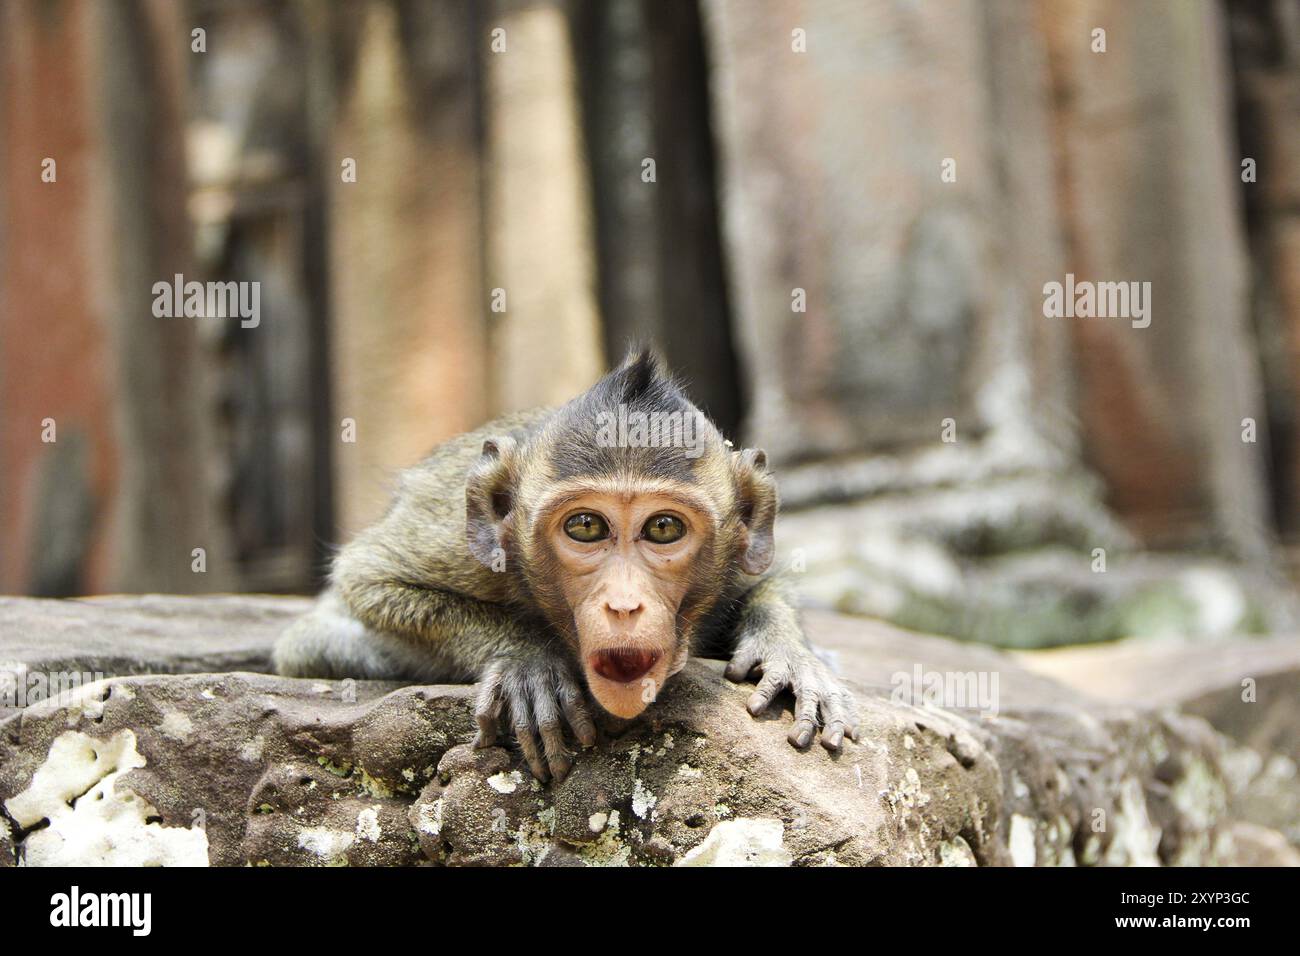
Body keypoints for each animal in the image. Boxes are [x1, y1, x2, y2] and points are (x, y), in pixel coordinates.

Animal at [274, 349, 859, 782]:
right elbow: (367, 579)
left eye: (663, 529)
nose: (624, 603)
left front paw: (790, 654)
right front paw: (526, 659)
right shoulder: (461, 548)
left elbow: (767, 580)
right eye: (585, 527)